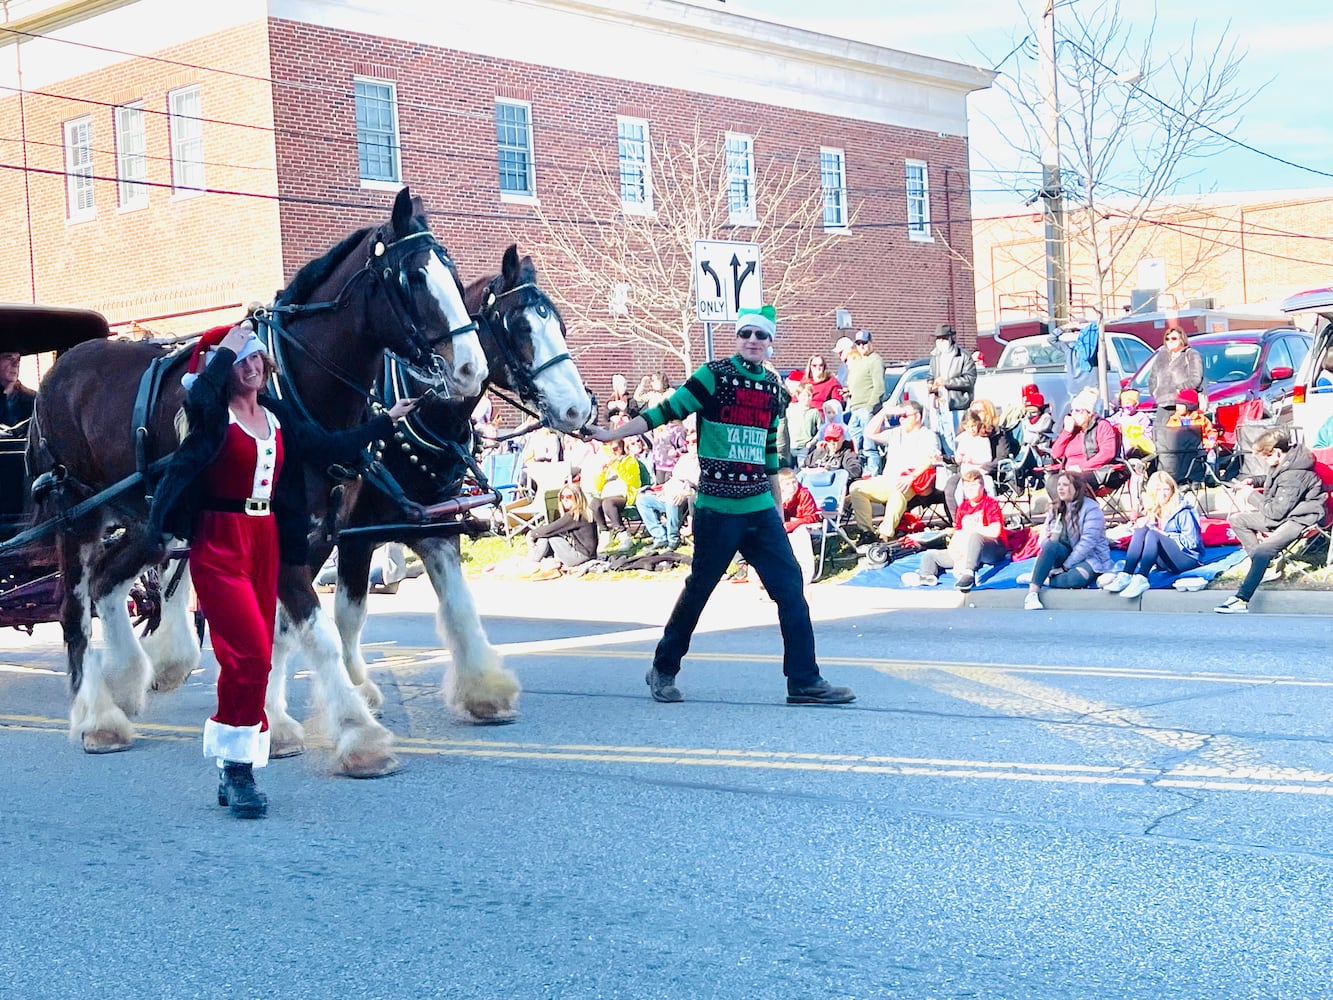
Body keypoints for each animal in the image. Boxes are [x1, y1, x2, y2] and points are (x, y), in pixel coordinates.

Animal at [28, 188, 487, 757]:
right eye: (414, 278)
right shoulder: (289, 533)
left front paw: (273, 721)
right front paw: (358, 734)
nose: (471, 368)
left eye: (454, 273)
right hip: (77, 514)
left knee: (108, 584)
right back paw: (95, 716)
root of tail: (59, 371)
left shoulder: (319, 536)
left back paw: (128, 683)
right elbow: (316, 633)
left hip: (147, 518)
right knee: (74, 610)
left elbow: (280, 632)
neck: (296, 385)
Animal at [265, 246, 589, 778]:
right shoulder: (352, 537)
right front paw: (342, 702)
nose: (579, 409)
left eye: (558, 324)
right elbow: (340, 615)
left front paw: (484, 691)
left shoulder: (435, 526)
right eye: (520, 327)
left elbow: (457, 606)